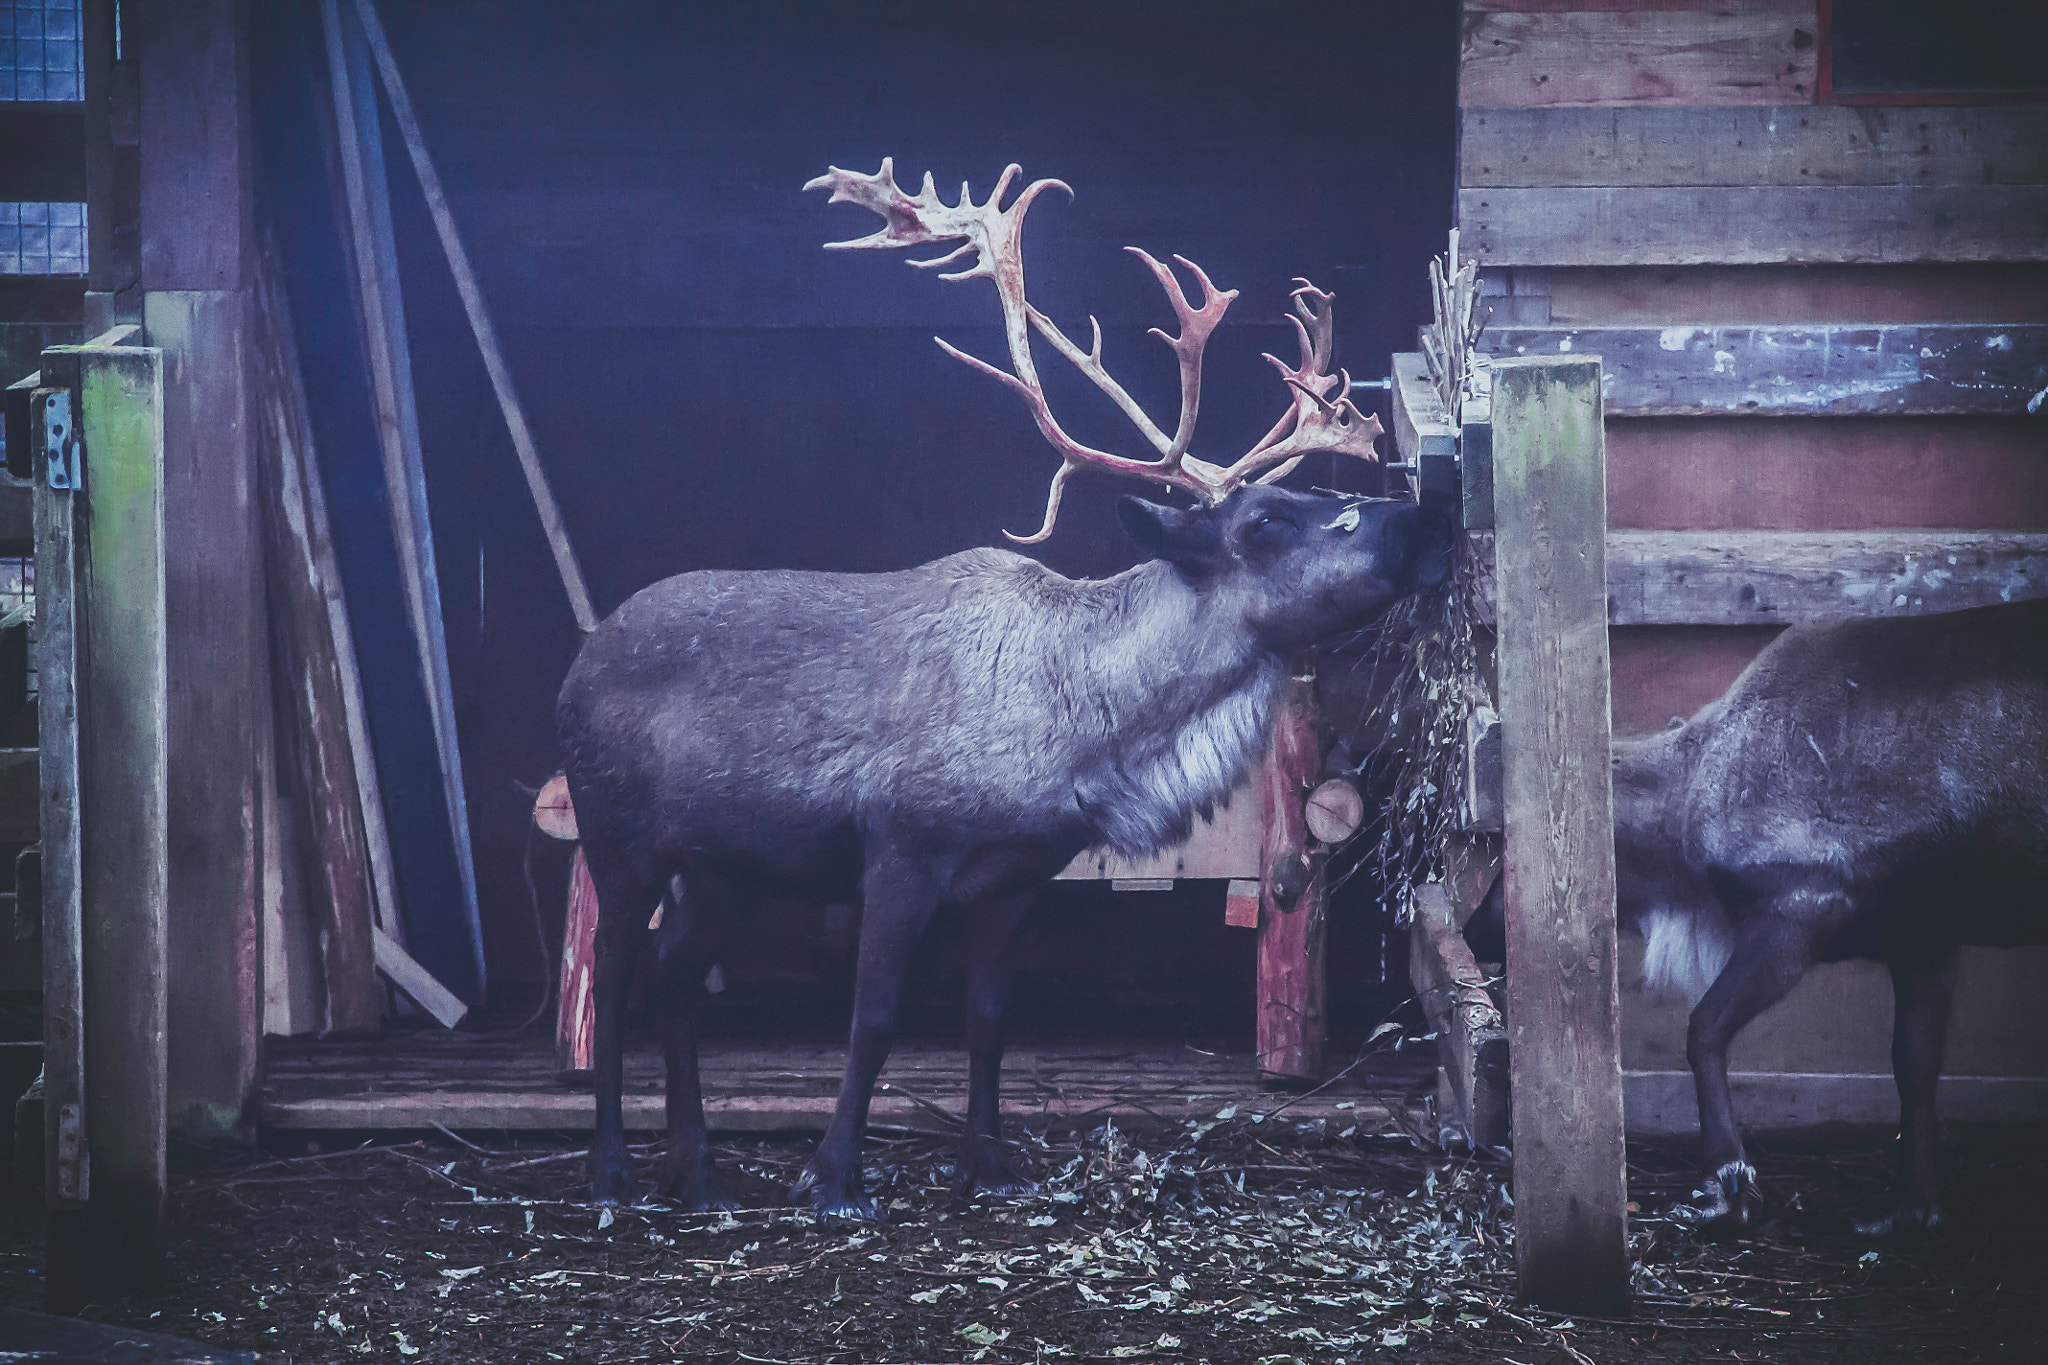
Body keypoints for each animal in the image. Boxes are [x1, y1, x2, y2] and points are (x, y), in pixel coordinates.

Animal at [557, 160, 1451, 1218]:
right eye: (1268, 520)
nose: (1418, 520)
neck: (1088, 728)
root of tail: (573, 669)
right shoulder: (900, 848)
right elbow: (875, 1015)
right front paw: (834, 1173)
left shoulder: (1020, 874)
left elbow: (989, 1015)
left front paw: (989, 1160)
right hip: (619, 836)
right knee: (617, 972)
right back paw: (614, 1166)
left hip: (722, 864)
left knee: (675, 974)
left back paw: (696, 1167)